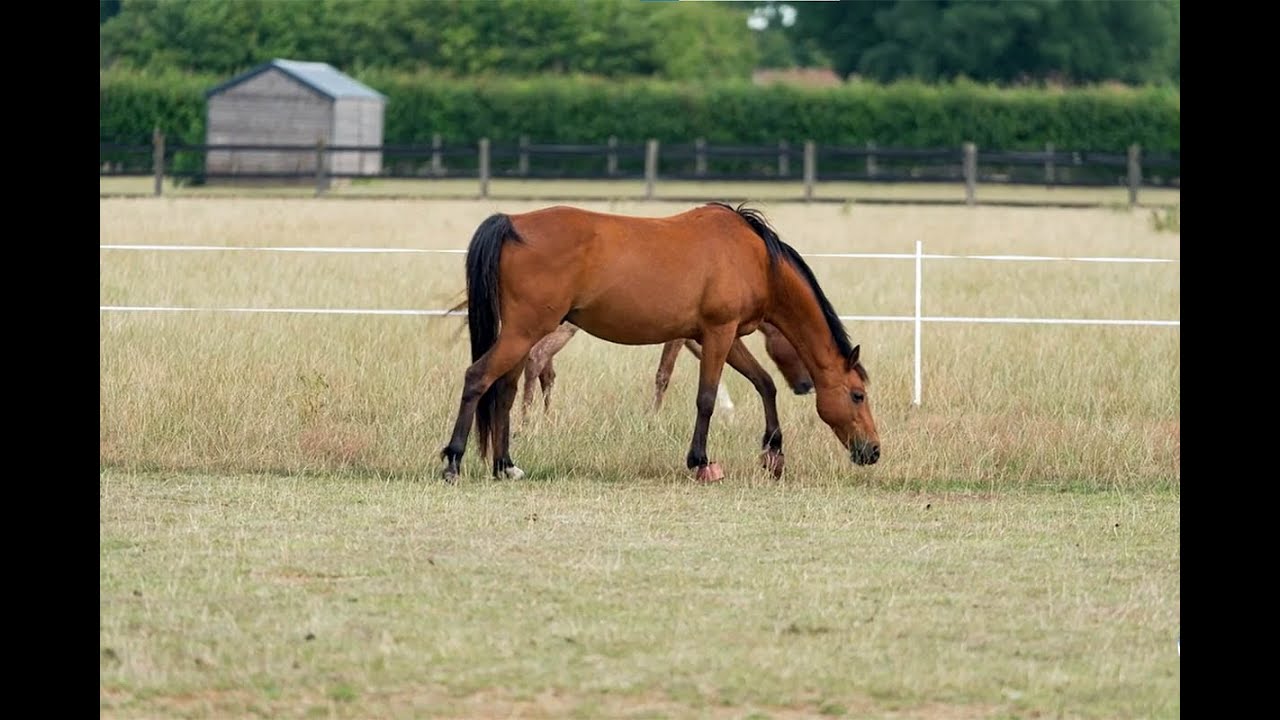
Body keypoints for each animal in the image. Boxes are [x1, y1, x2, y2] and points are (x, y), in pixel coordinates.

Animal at [519, 320, 814, 421]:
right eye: (798, 346)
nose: (807, 385)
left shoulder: (697, 338)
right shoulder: (680, 337)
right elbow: (663, 375)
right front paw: (654, 418)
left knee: (545, 371)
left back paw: (544, 416)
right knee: (535, 359)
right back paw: (527, 420)